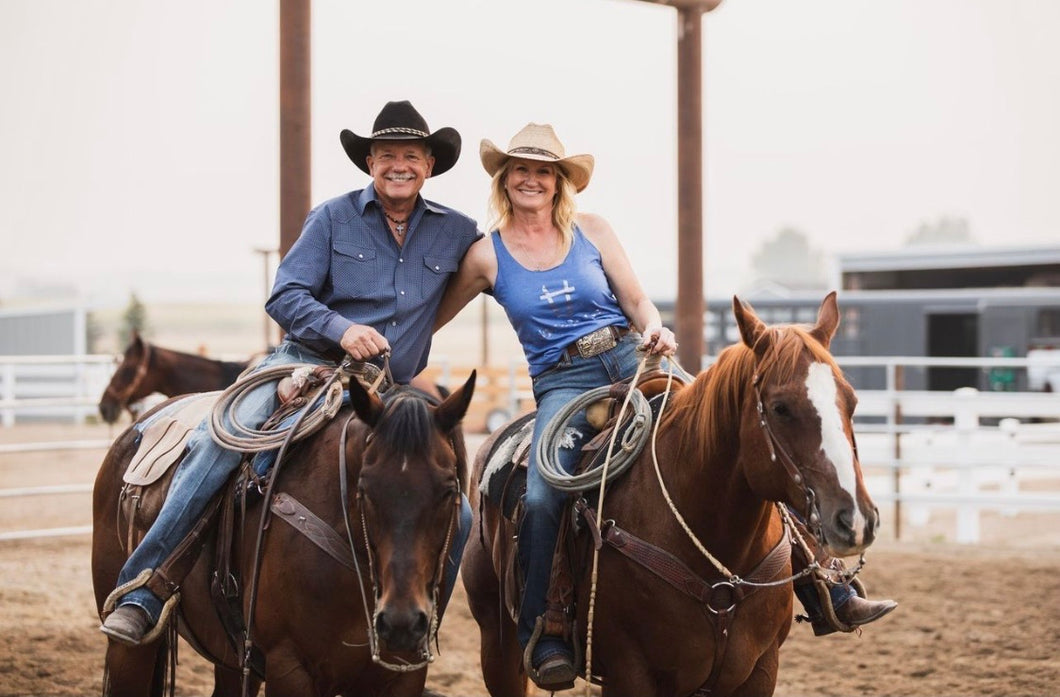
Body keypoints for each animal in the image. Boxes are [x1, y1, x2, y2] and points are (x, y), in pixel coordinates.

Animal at [95, 368, 476, 694]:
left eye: (448, 490)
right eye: (364, 489)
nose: (401, 622)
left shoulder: (404, 675)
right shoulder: (289, 668)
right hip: (129, 642)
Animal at [462, 292, 877, 694]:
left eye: (852, 401)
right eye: (780, 408)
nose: (855, 520)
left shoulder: (761, 669)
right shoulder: (631, 675)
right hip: (495, 644)